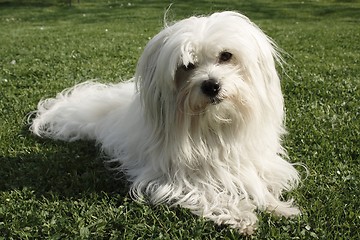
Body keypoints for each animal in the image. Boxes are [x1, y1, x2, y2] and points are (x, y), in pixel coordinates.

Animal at [30, 11, 300, 234]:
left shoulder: (252, 162)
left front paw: (276, 205)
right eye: (187, 65)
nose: (211, 85)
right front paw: (241, 215)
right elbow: (209, 193)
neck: (212, 127)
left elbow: (258, 182)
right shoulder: (175, 180)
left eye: (226, 56)